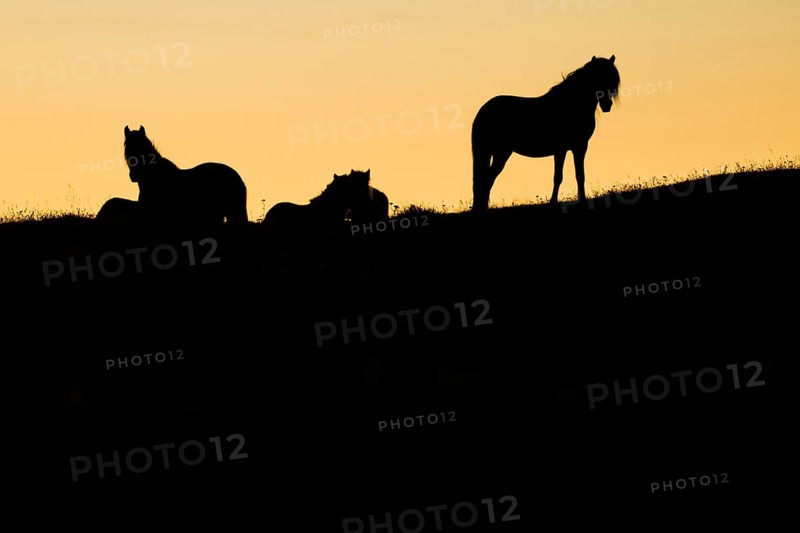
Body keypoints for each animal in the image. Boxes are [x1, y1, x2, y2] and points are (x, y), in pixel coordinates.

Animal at [471, 55, 620, 211]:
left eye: (611, 80)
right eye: (597, 77)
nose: (607, 105)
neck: (571, 104)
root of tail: (483, 110)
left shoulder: (579, 147)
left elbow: (580, 175)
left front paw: (582, 199)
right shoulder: (561, 149)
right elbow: (558, 176)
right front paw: (553, 201)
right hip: (500, 152)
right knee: (486, 179)